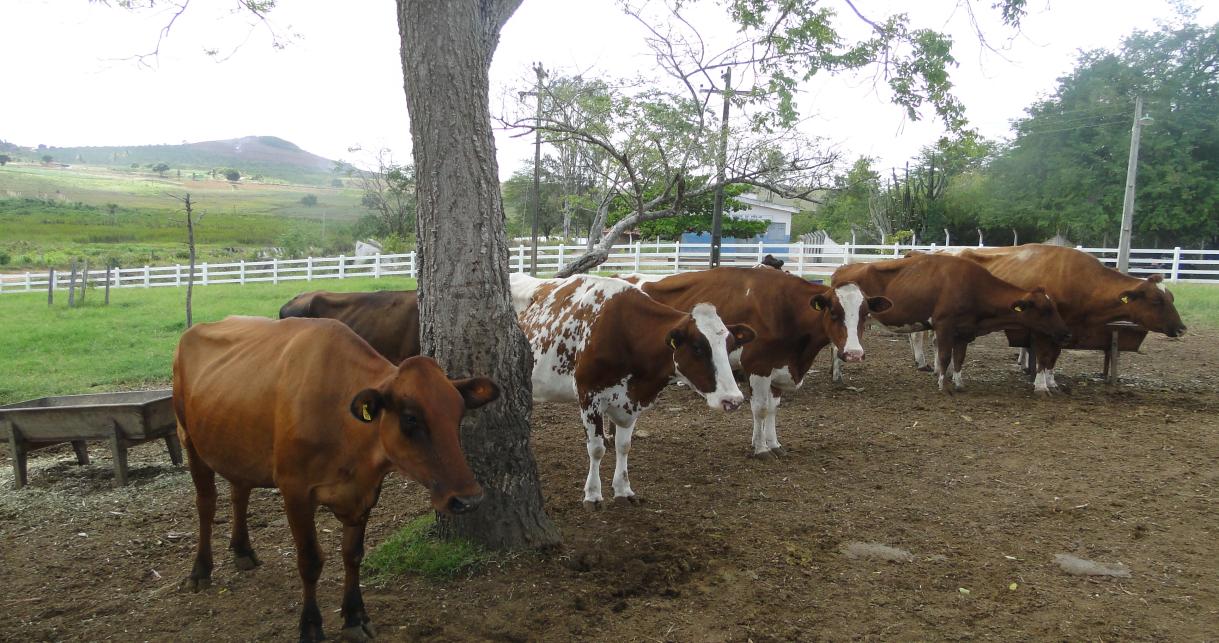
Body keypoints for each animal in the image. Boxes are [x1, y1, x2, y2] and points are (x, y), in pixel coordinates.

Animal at [511, 274, 755, 510]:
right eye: (697, 348)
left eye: (730, 346)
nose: (733, 400)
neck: (624, 332)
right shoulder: (588, 395)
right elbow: (596, 448)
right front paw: (593, 495)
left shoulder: (630, 402)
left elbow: (624, 446)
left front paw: (623, 490)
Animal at [833, 253, 1072, 395]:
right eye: (1046, 310)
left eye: (1055, 307)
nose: (1065, 332)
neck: (973, 287)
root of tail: (842, 269)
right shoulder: (944, 326)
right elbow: (946, 356)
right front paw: (943, 384)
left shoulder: (964, 331)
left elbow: (959, 358)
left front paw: (959, 383)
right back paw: (837, 376)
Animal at [955, 245, 1184, 392]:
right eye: (1157, 300)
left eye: (1171, 297)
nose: (1182, 328)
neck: (1082, 282)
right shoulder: (1043, 327)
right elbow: (1043, 355)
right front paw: (1040, 385)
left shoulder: (1065, 329)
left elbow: (1054, 355)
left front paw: (1051, 381)